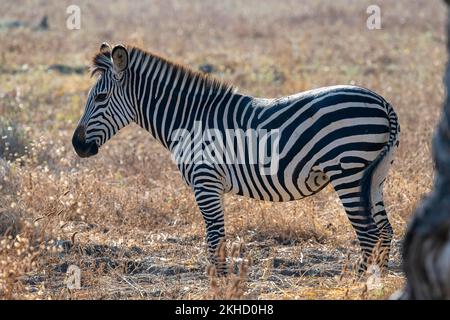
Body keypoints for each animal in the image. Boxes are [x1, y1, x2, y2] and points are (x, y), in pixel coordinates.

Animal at [74, 43, 400, 276]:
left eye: (100, 98)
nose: (77, 145)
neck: (188, 118)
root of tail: (382, 101)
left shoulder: (205, 181)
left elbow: (214, 239)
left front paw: (220, 284)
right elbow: (215, 239)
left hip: (348, 172)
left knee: (369, 233)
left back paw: (358, 282)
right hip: (375, 175)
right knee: (384, 230)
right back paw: (377, 283)